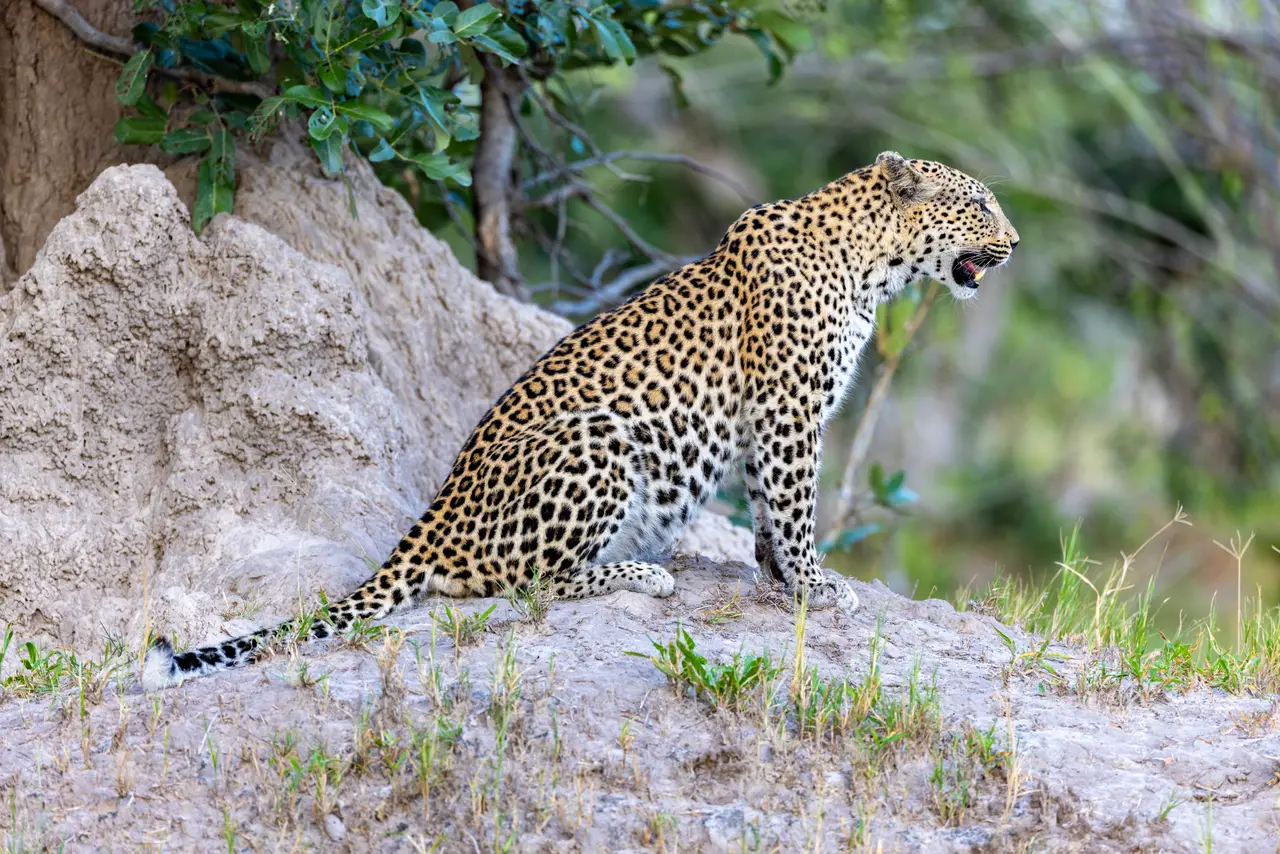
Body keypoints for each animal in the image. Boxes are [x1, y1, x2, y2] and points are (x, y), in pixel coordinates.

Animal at [140, 151, 1019, 691]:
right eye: (978, 202)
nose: (1013, 241)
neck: (871, 266)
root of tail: (429, 524)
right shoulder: (787, 409)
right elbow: (796, 504)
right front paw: (815, 586)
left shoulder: (770, 420)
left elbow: (771, 509)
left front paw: (778, 576)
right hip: (598, 437)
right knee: (523, 582)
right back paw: (642, 573)